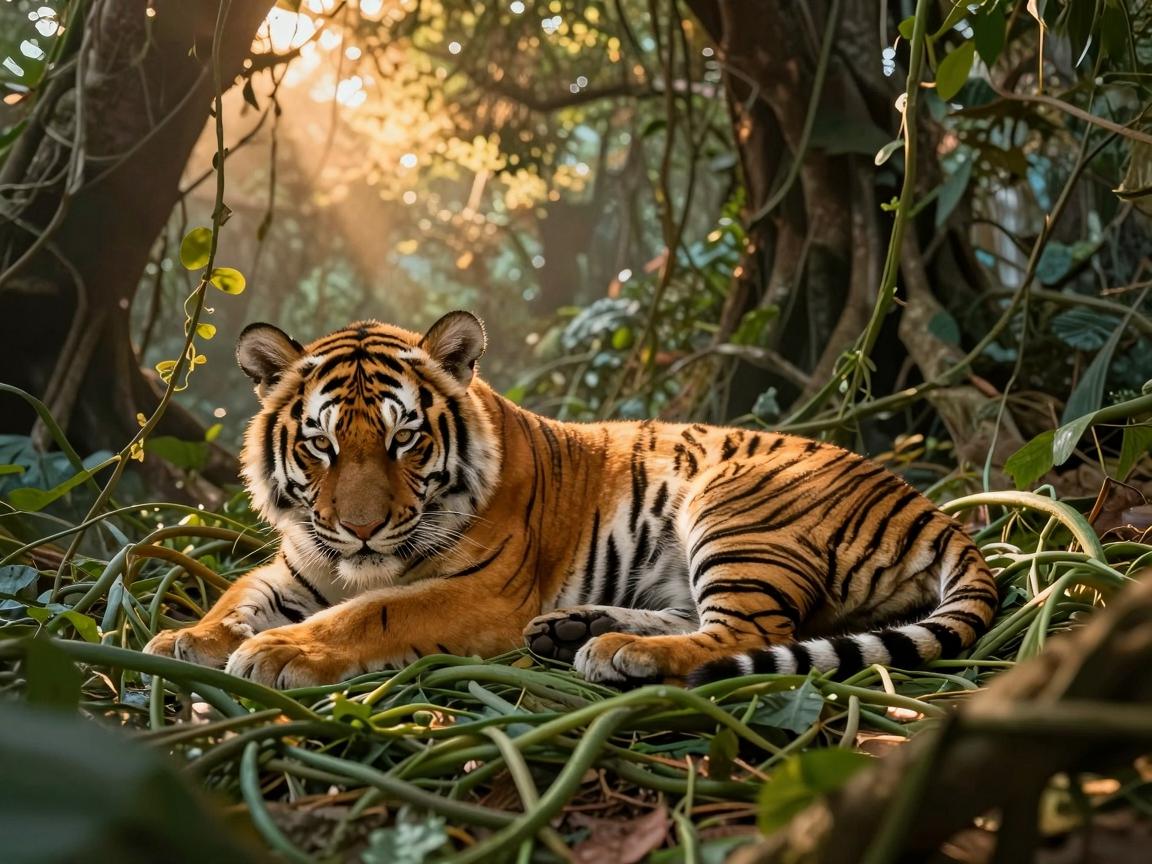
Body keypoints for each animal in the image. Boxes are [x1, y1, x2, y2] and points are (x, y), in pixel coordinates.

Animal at [144, 311, 998, 689]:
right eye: (320, 444)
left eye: (403, 439)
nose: (360, 529)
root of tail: (925, 503)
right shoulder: (297, 563)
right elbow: (238, 595)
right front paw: (189, 638)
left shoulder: (479, 591)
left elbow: (371, 613)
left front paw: (281, 652)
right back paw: (579, 631)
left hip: (736, 511)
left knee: (750, 631)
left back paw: (621, 653)